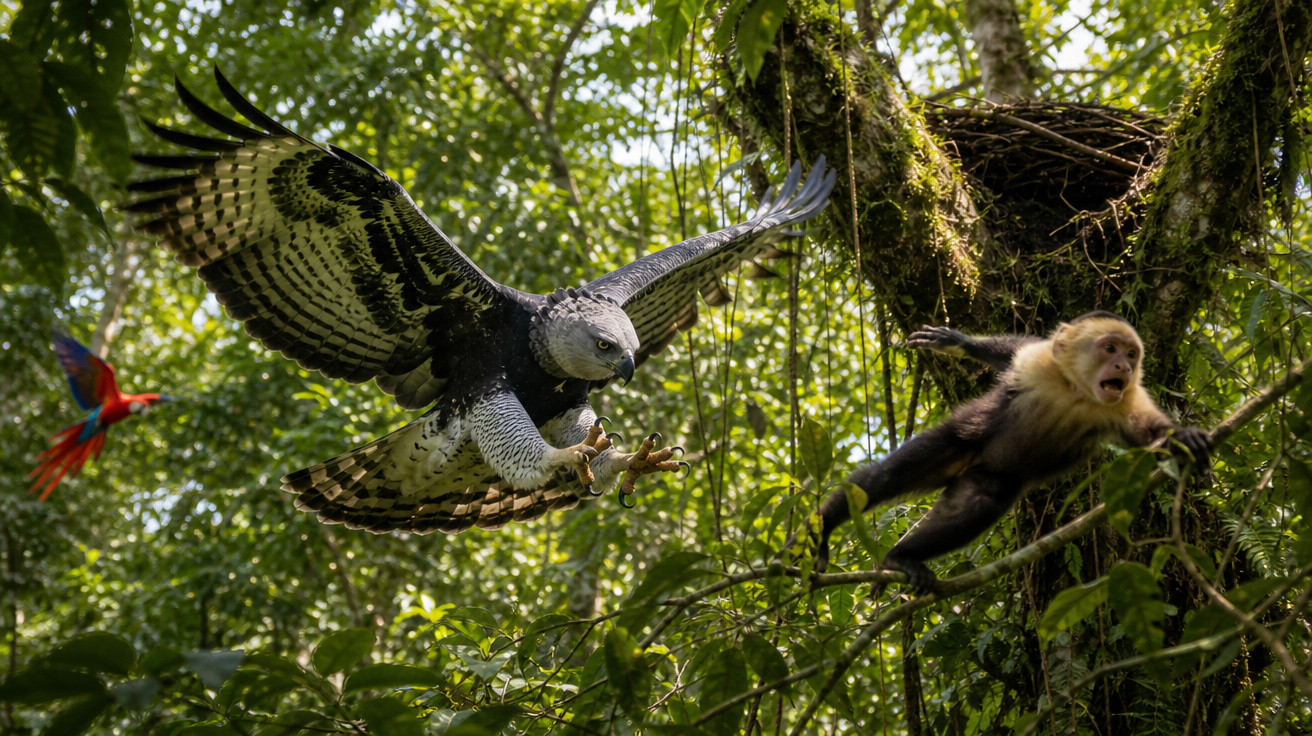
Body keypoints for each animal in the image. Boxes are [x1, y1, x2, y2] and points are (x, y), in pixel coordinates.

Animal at [811, 311, 1212, 592]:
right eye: (1109, 348)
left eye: (1131, 353)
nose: (1124, 367)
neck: (1078, 391)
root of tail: (972, 462)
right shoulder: (1041, 365)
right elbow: (1014, 355)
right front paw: (960, 343)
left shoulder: (1125, 400)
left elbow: (1150, 432)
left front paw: (1187, 438)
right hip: (959, 443)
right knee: (887, 476)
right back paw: (826, 527)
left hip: (987, 475)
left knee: (980, 504)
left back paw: (900, 558)